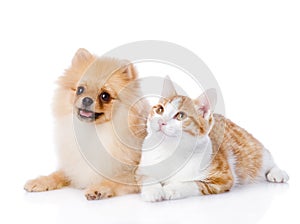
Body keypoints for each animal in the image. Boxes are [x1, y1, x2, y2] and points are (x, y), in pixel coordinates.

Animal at [24, 48, 148, 200]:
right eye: (80, 90)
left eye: (105, 96)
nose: (87, 100)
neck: (94, 131)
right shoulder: (74, 167)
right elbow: (58, 173)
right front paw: (41, 181)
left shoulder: (133, 172)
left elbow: (114, 180)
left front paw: (98, 189)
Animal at [137, 76, 290, 201]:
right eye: (159, 110)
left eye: (180, 116)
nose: (161, 121)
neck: (170, 150)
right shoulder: (142, 168)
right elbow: (146, 177)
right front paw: (153, 191)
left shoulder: (223, 178)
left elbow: (193, 184)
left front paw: (172, 188)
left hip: (251, 147)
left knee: (266, 158)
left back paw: (277, 172)